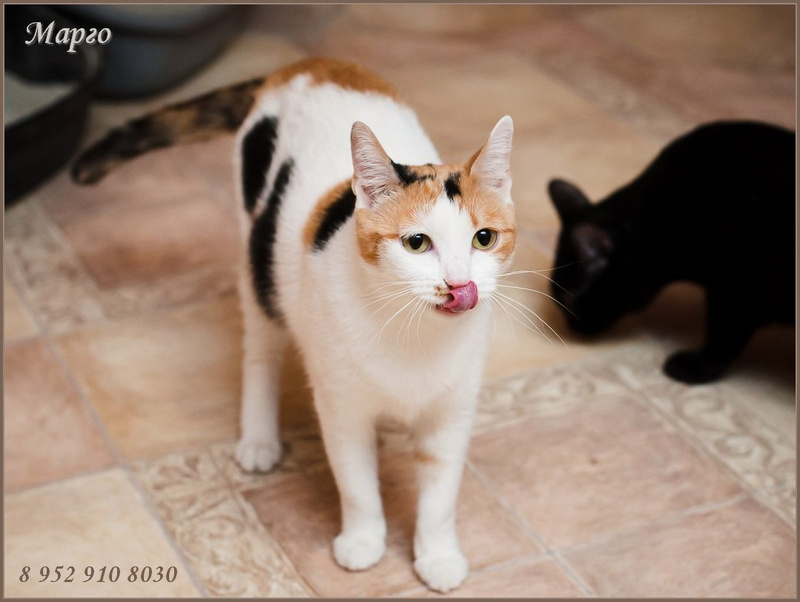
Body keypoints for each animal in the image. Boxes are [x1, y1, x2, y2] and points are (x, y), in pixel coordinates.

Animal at [72, 57, 517, 593]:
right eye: (416, 243)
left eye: (484, 238)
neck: (414, 334)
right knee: (260, 350)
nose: (459, 283)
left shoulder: (452, 409)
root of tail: (307, 65)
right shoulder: (341, 403)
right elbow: (355, 478)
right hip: (259, 264)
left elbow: (441, 490)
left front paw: (438, 555)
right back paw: (260, 438)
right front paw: (363, 542)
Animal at [547, 120, 795, 385]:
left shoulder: (735, 290)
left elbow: (722, 339)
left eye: (570, 300)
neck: (662, 219)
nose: (572, 328)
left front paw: (694, 368)